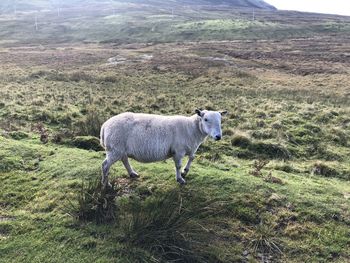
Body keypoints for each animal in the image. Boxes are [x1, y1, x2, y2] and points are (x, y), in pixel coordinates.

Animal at [100, 109, 228, 188]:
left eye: (220, 120)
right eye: (206, 119)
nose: (218, 136)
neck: (192, 129)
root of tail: (104, 125)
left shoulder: (191, 148)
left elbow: (192, 157)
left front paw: (185, 171)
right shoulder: (178, 151)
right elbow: (178, 165)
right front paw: (180, 179)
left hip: (120, 149)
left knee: (124, 160)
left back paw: (132, 173)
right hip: (115, 148)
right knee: (105, 165)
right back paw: (106, 184)